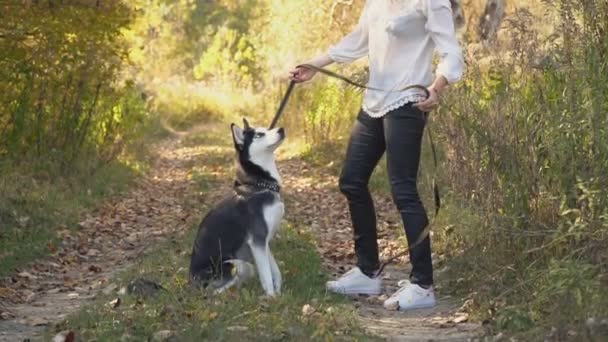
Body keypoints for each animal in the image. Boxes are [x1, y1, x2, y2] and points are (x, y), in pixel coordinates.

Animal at [189, 119, 286, 296]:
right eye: (259, 135)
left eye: (267, 129)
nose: (281, 129)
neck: (260, 186)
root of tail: (191, 279)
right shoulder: (257, 240)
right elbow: (266, 275)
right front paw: (271, 297)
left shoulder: (263, 242)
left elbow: (274, 270)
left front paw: (278, 291)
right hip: (232, 265)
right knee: (214, 290)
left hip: (245, 266)